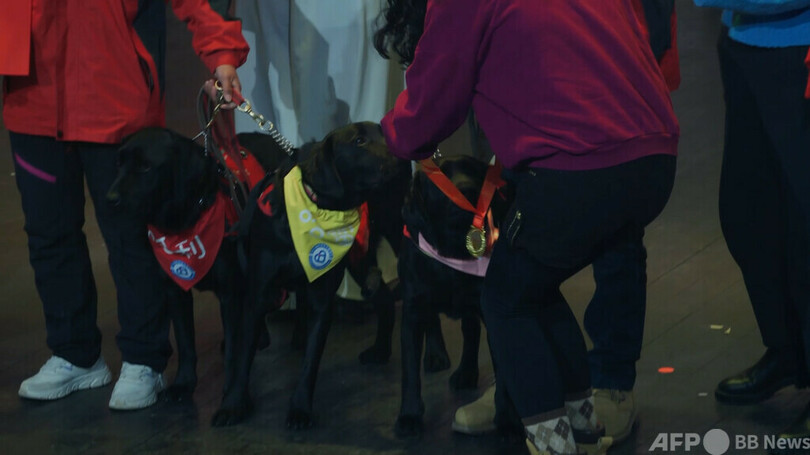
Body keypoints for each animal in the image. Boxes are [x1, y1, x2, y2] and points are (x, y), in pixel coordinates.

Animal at [394, 155, 515, 438]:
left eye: (473, 170)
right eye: (439, 180)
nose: (467, 189)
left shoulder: (489, 307)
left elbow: (502, 367)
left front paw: (506, 417)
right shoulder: (412, 311)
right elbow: (409, 370)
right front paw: (409, 415)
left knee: (470, 330)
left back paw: (467, 372)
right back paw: (438, 356)